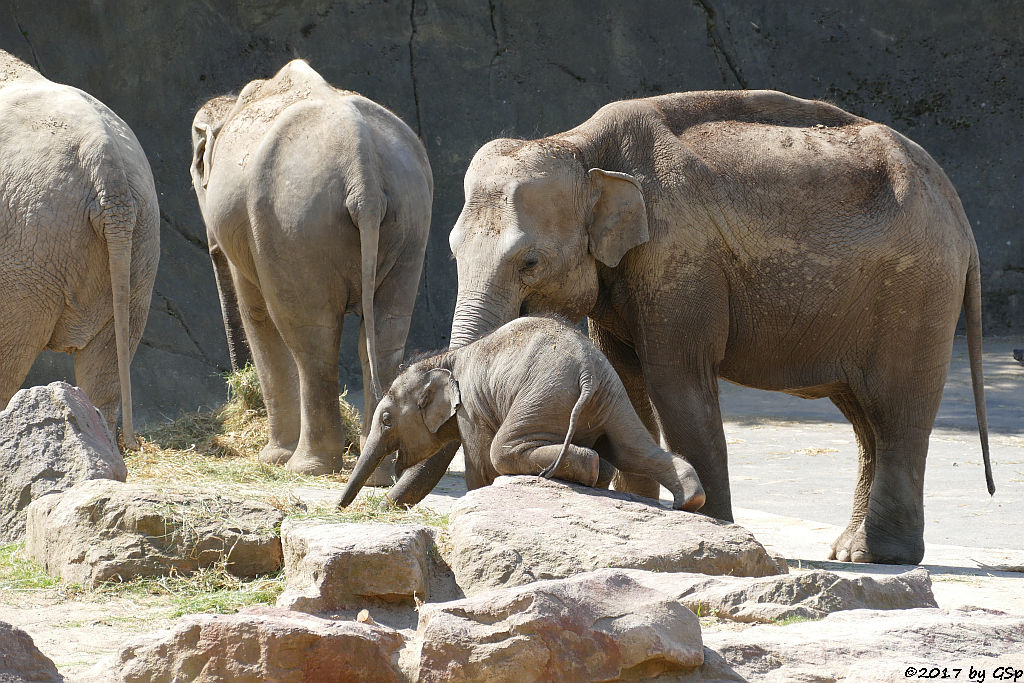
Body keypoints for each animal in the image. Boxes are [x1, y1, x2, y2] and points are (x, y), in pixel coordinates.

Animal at [190, 61, 430, 479]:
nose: (236, 381)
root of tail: (363, 173)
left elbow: (256, 311)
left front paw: (270, 458)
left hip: (292, 221)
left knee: (311, 334)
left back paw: (303, 467)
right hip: (410, 217)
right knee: (384, 334)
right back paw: (377, 473)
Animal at [339, 317, 708, 511]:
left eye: (387, 419)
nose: (341, 508)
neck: (445, 358)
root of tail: (587, 370)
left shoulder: (471, 409)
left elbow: (480, 464)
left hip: (543, 396)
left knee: (502, 450)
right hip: (612, 396)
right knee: (633, 449)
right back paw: (688, 501)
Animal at [393, 89, 991, 565]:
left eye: (530, 262)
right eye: (451, 251)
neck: (581, 147)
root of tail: (960, 214)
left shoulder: (678, 258)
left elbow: (674, 378)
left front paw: (708, 524)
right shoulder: (623, 273)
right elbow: (624, 377)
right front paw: (638, 513)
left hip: (916, 291)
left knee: (896, 411)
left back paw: (884, 556)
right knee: (864, 417)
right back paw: (852, 552)